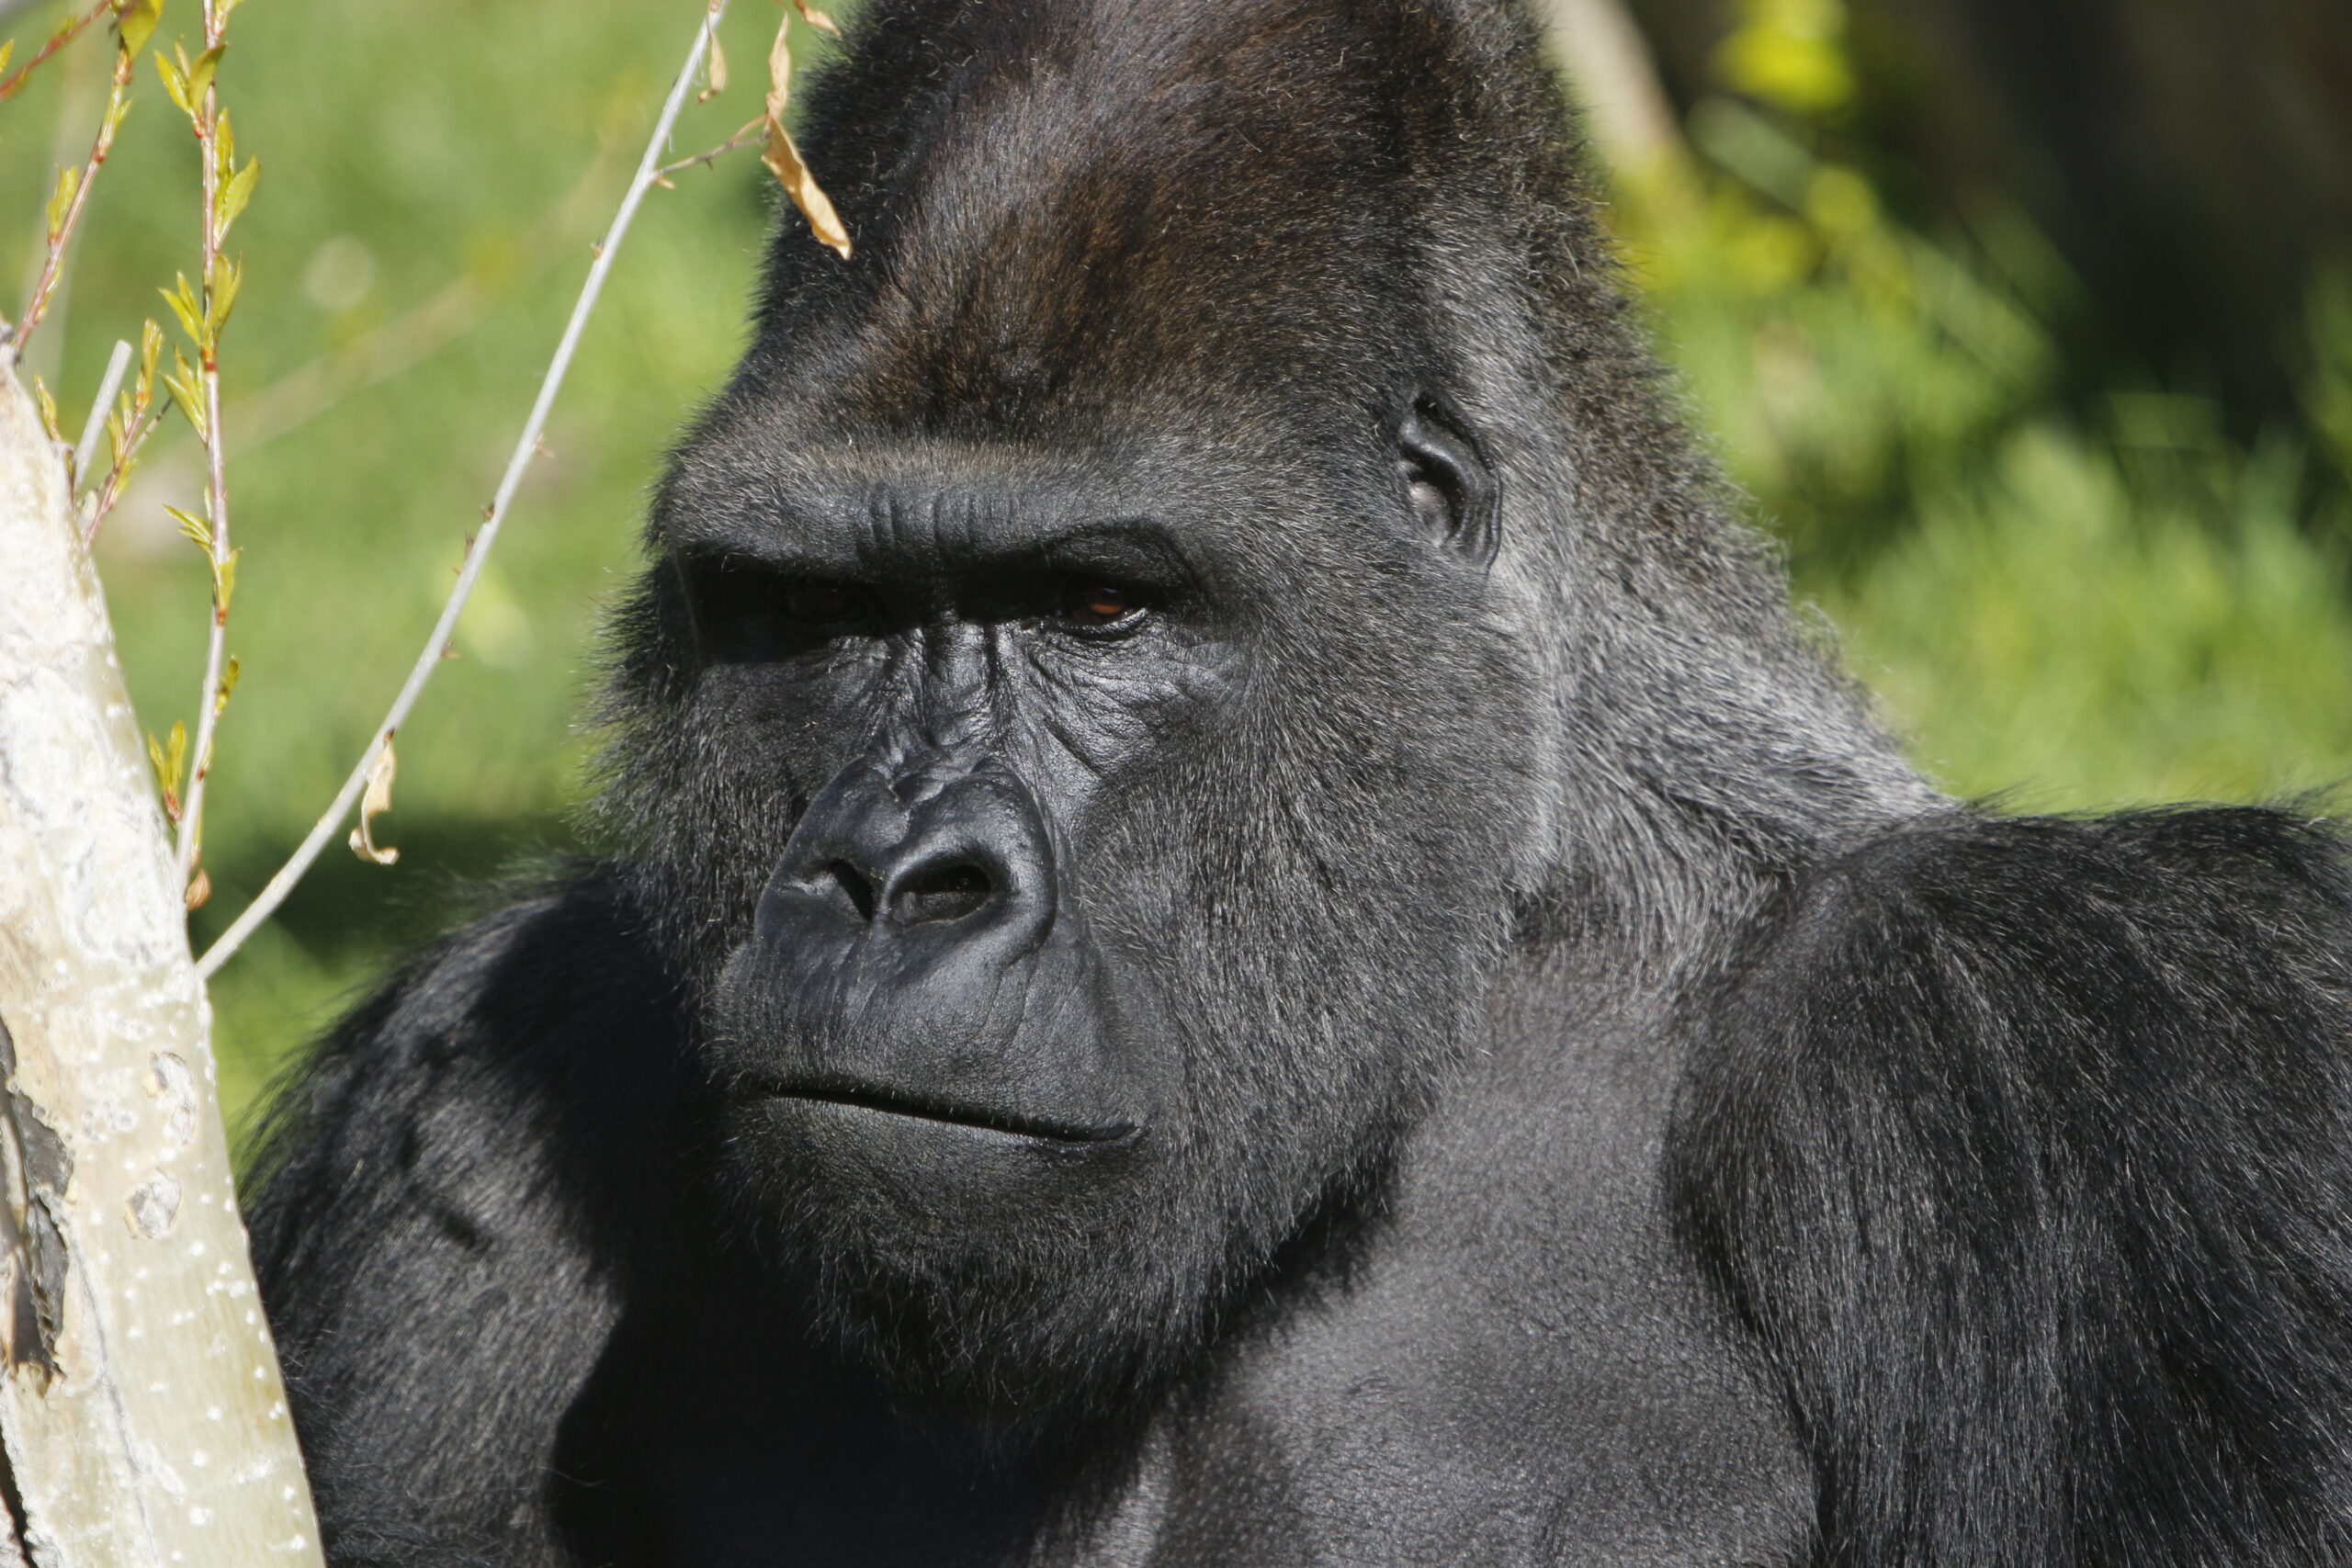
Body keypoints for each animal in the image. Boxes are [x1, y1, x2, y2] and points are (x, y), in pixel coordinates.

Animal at [248, 0, 2352, 1561]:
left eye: (1095, 603)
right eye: (818, 612)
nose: (893, 875)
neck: (1484, 938)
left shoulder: (2077, 1043)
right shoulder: (484, 1098)